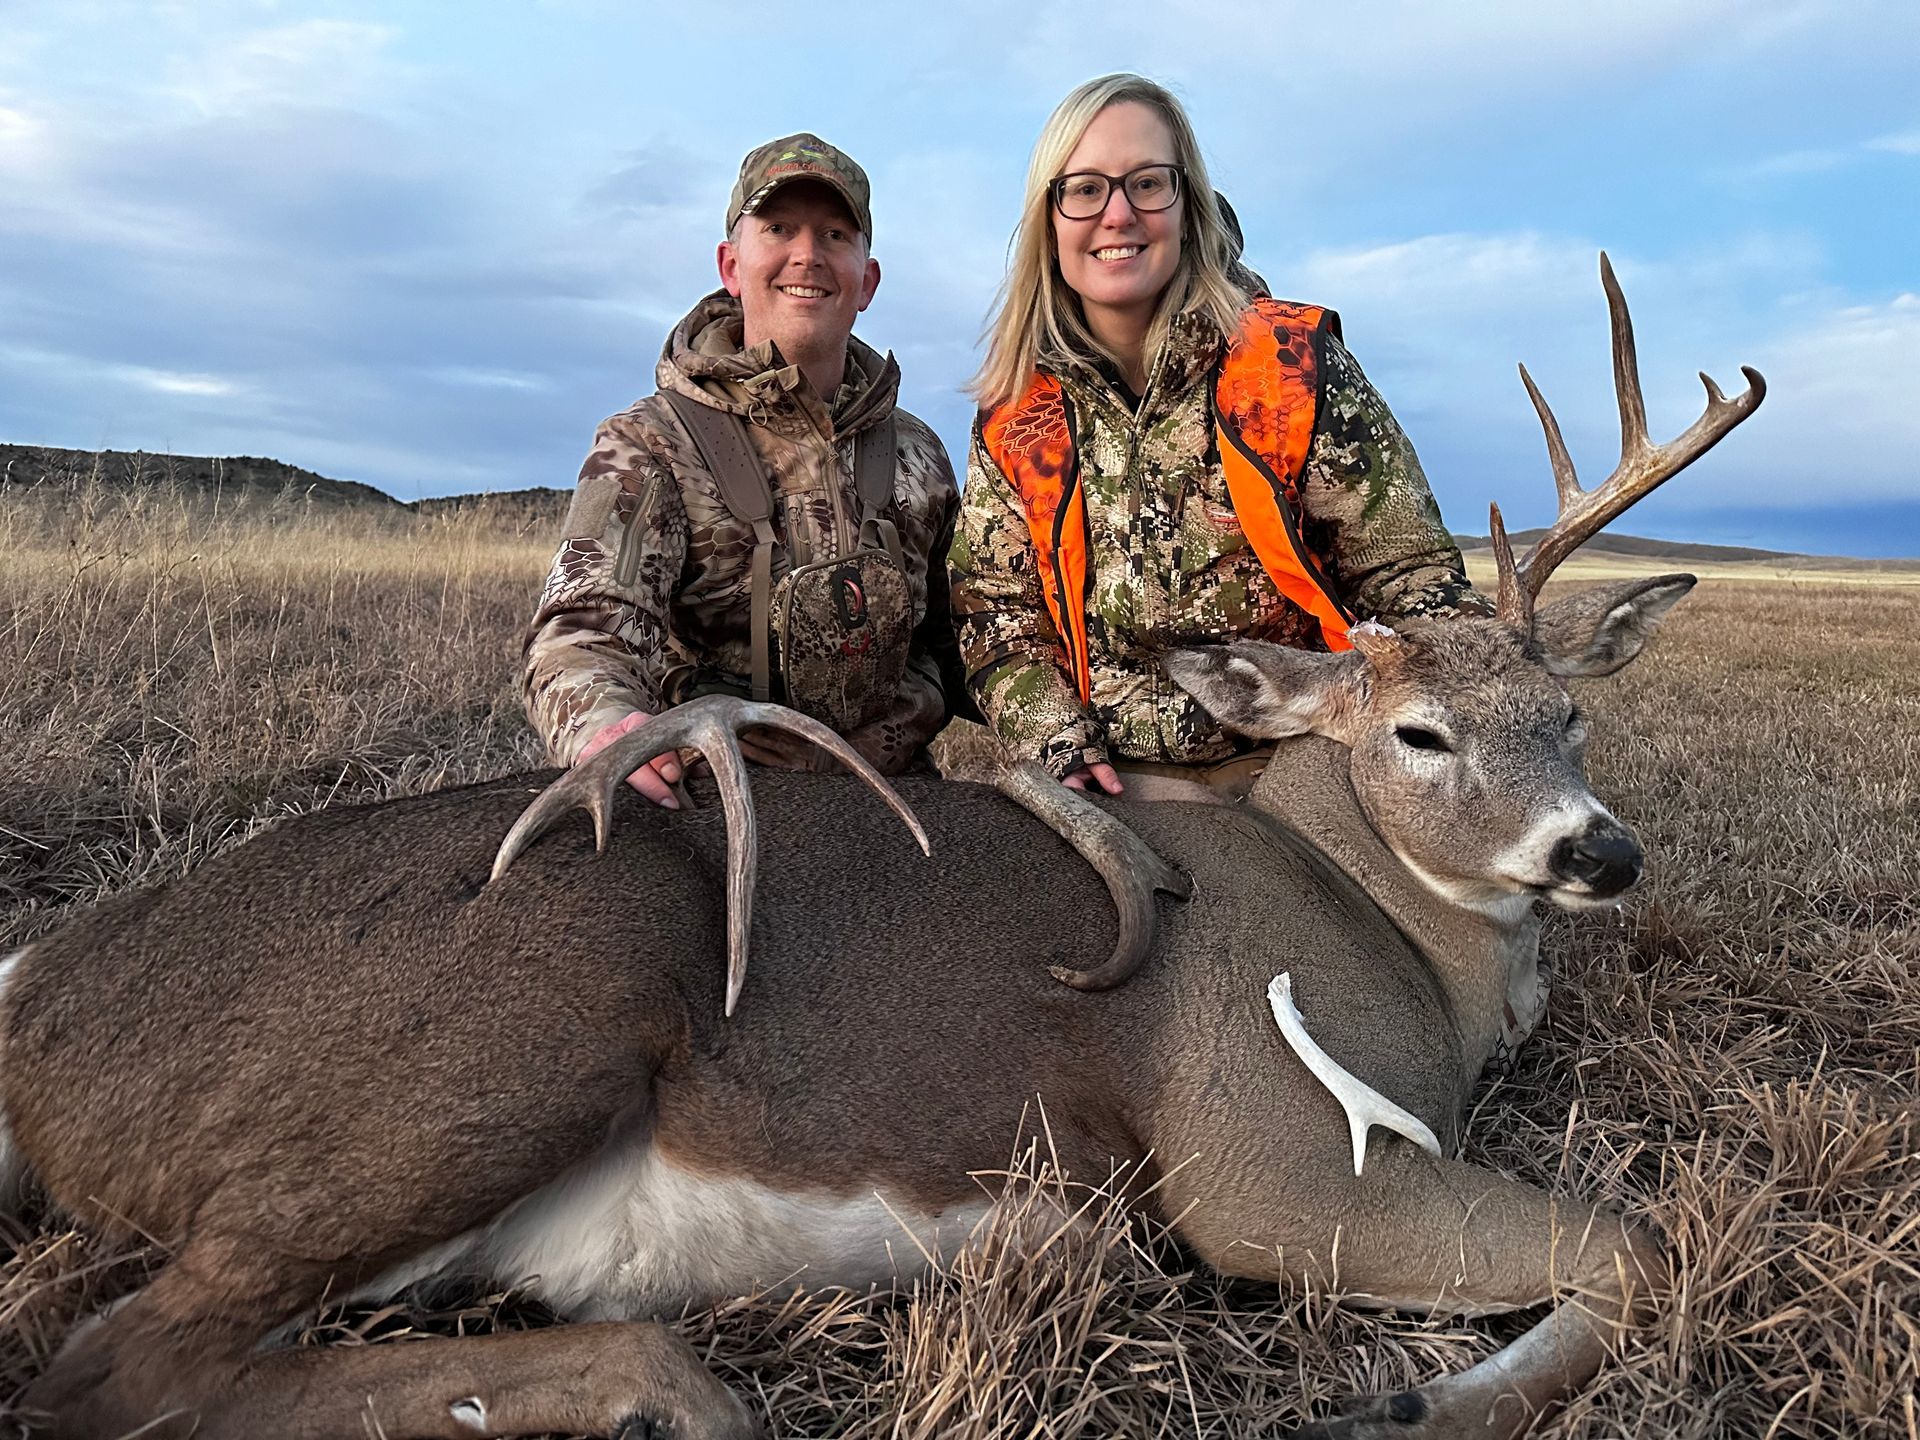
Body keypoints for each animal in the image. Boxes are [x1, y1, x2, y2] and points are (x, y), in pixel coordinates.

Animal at [0, 255, 1761, 1439]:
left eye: (1573, 715)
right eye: (1421, 737)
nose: (1600, 853)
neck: (1394, 940)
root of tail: (39, 1001)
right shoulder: (1262, 1161)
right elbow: (1647, 1242)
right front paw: (1408, 1404)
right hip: (525, 1015)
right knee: (112, 1369)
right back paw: (672, 1389)